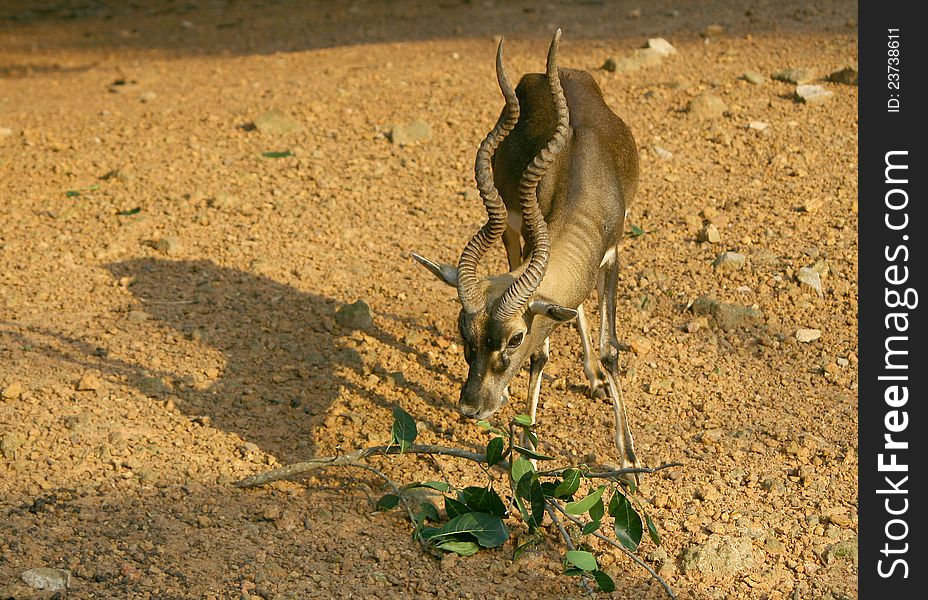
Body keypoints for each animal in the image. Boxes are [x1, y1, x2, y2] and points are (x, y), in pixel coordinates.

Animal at [416, 30, 640, 474]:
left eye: (515, 337)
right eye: (463, 331)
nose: (471, 407)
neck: (582, 175)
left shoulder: (612, 255)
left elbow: (610, 350)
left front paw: (628, 463)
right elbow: (542, 356)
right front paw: (527, 454)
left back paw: (593, 379)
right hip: (511, 235)